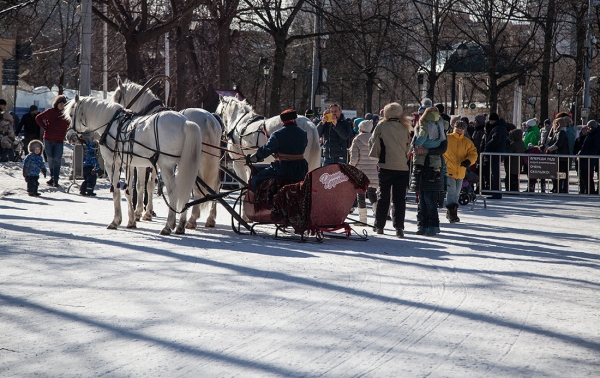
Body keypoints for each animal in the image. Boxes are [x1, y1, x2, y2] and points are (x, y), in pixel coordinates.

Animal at [64, 96, 203, 235]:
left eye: (71, 115)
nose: (69, 136)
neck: (111, 124)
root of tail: (186, 123)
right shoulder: (129, 165)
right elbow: (129, 191)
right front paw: (131, 221)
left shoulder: (112, 164)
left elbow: (116, 191)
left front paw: (116, 221)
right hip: (183, 165)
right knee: (185, 190)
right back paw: (181, 226)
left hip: (166, 166)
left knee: (173, 191)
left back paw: (168, 226)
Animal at [111, 78, 221, 229]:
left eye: (117, 97)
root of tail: (208, 119)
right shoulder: (154, 162)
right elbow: (151, 184)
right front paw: (148, 212)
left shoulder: (143, 163)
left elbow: (141, 184)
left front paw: (140, 212)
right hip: (210, 160)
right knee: (215, 184)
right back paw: (209, 218)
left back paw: (192, 219)